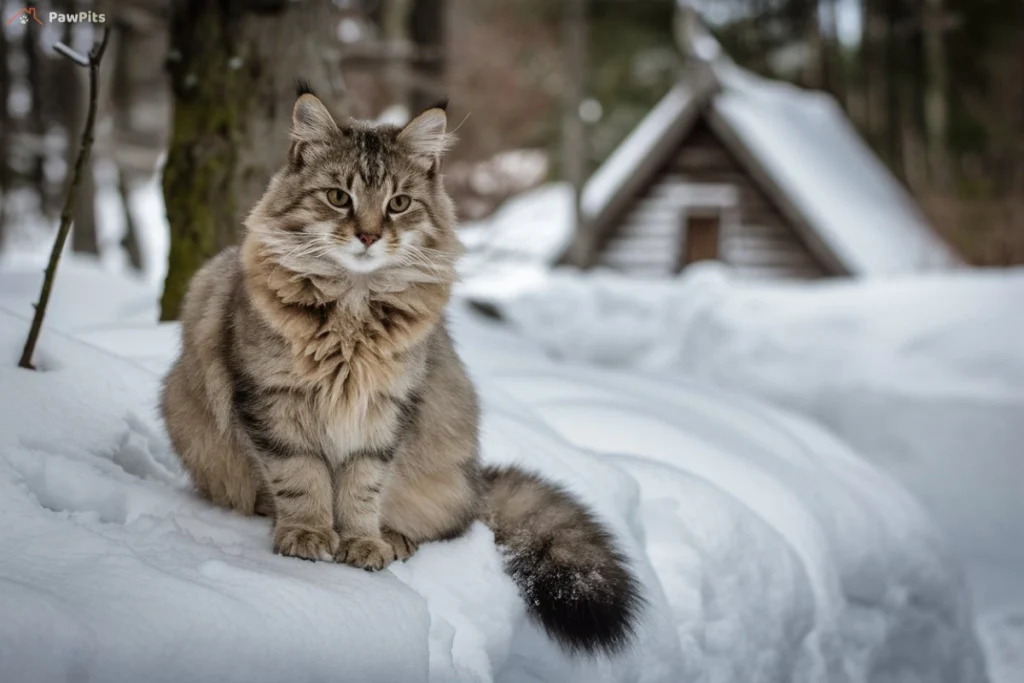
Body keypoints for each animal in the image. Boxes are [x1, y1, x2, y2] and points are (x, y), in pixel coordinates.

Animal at [159, 85, 638, 655]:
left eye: (399, 203)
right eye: (338, 197)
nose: (367, 235)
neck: (351, 312)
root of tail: (479, 483)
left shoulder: (384, 414)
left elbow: (362, 488)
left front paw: (362, 543)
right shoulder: (273, 401)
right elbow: (301, 479)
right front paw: (307, 534)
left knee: (443, 527)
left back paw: (395, 539)